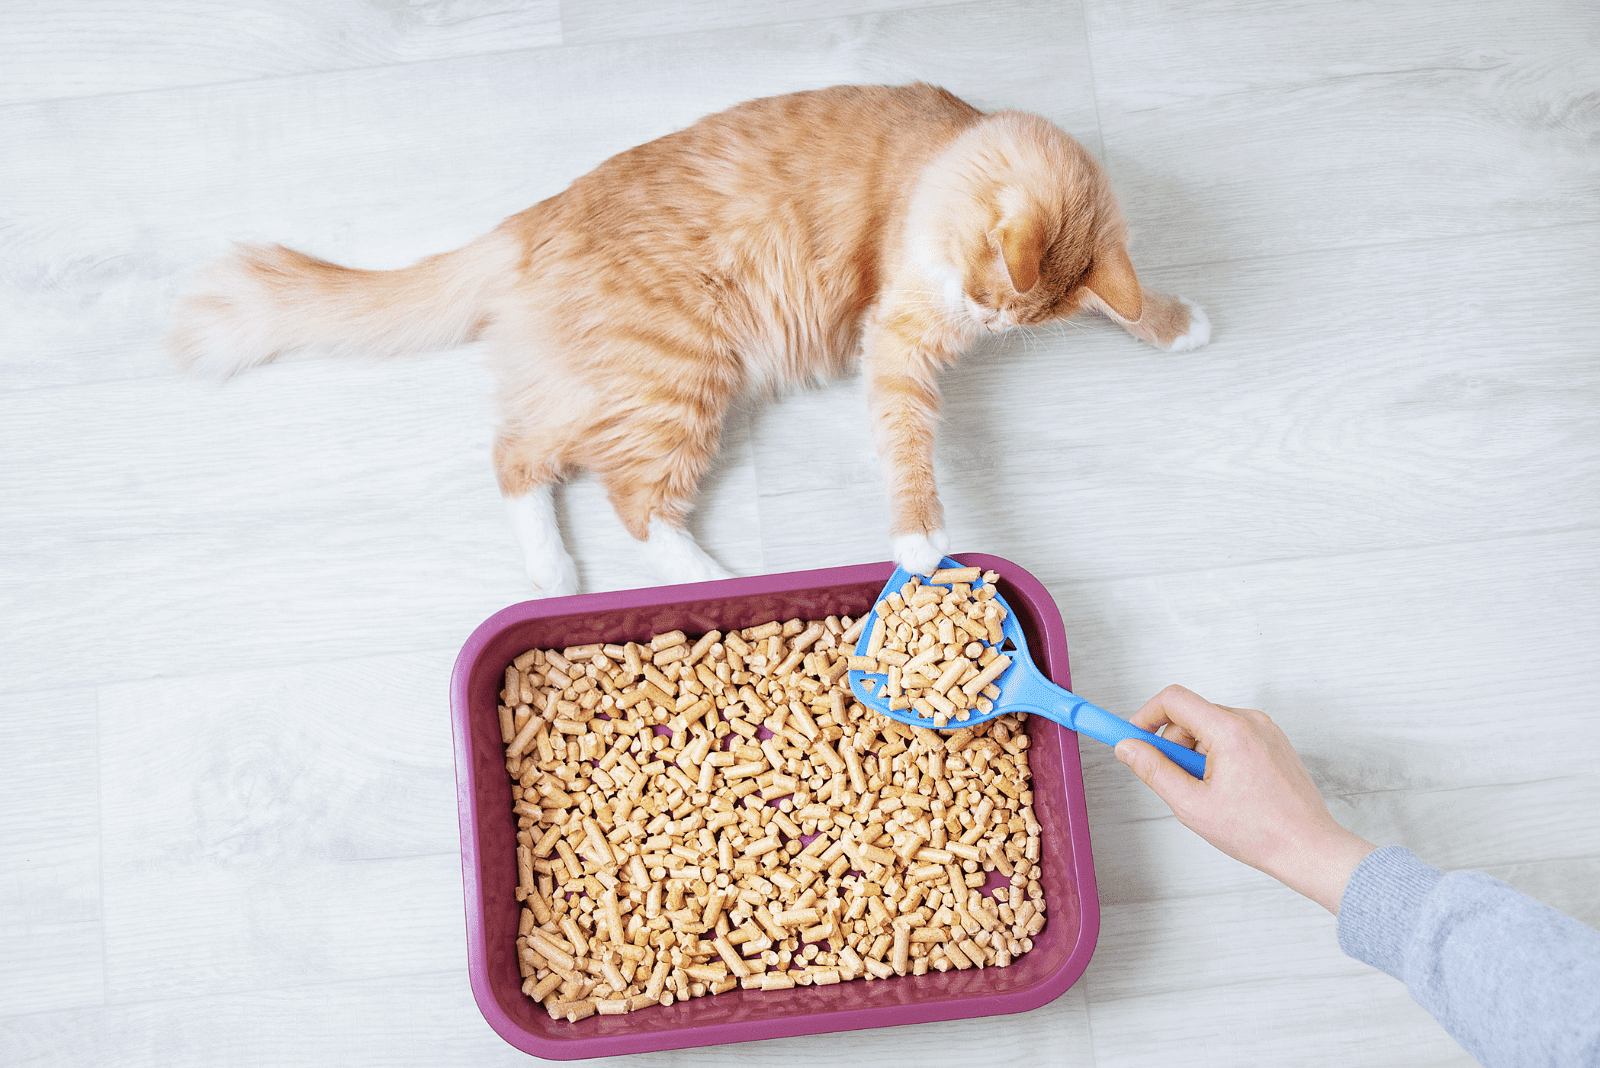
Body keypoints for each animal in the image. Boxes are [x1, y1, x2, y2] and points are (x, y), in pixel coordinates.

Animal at [168, 85, 1203, 591]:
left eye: (1000, 311)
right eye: (984, 290)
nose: (978, 315)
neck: (945, 155)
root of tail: (534, 218)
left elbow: (1131, 299)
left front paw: (1182, 323)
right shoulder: (899, 340)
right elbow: (910, 445)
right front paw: (920, 543)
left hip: (607, 383)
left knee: (519, 456)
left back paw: (553, 575)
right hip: (682, 376)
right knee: (633, 505)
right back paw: (711, 581)